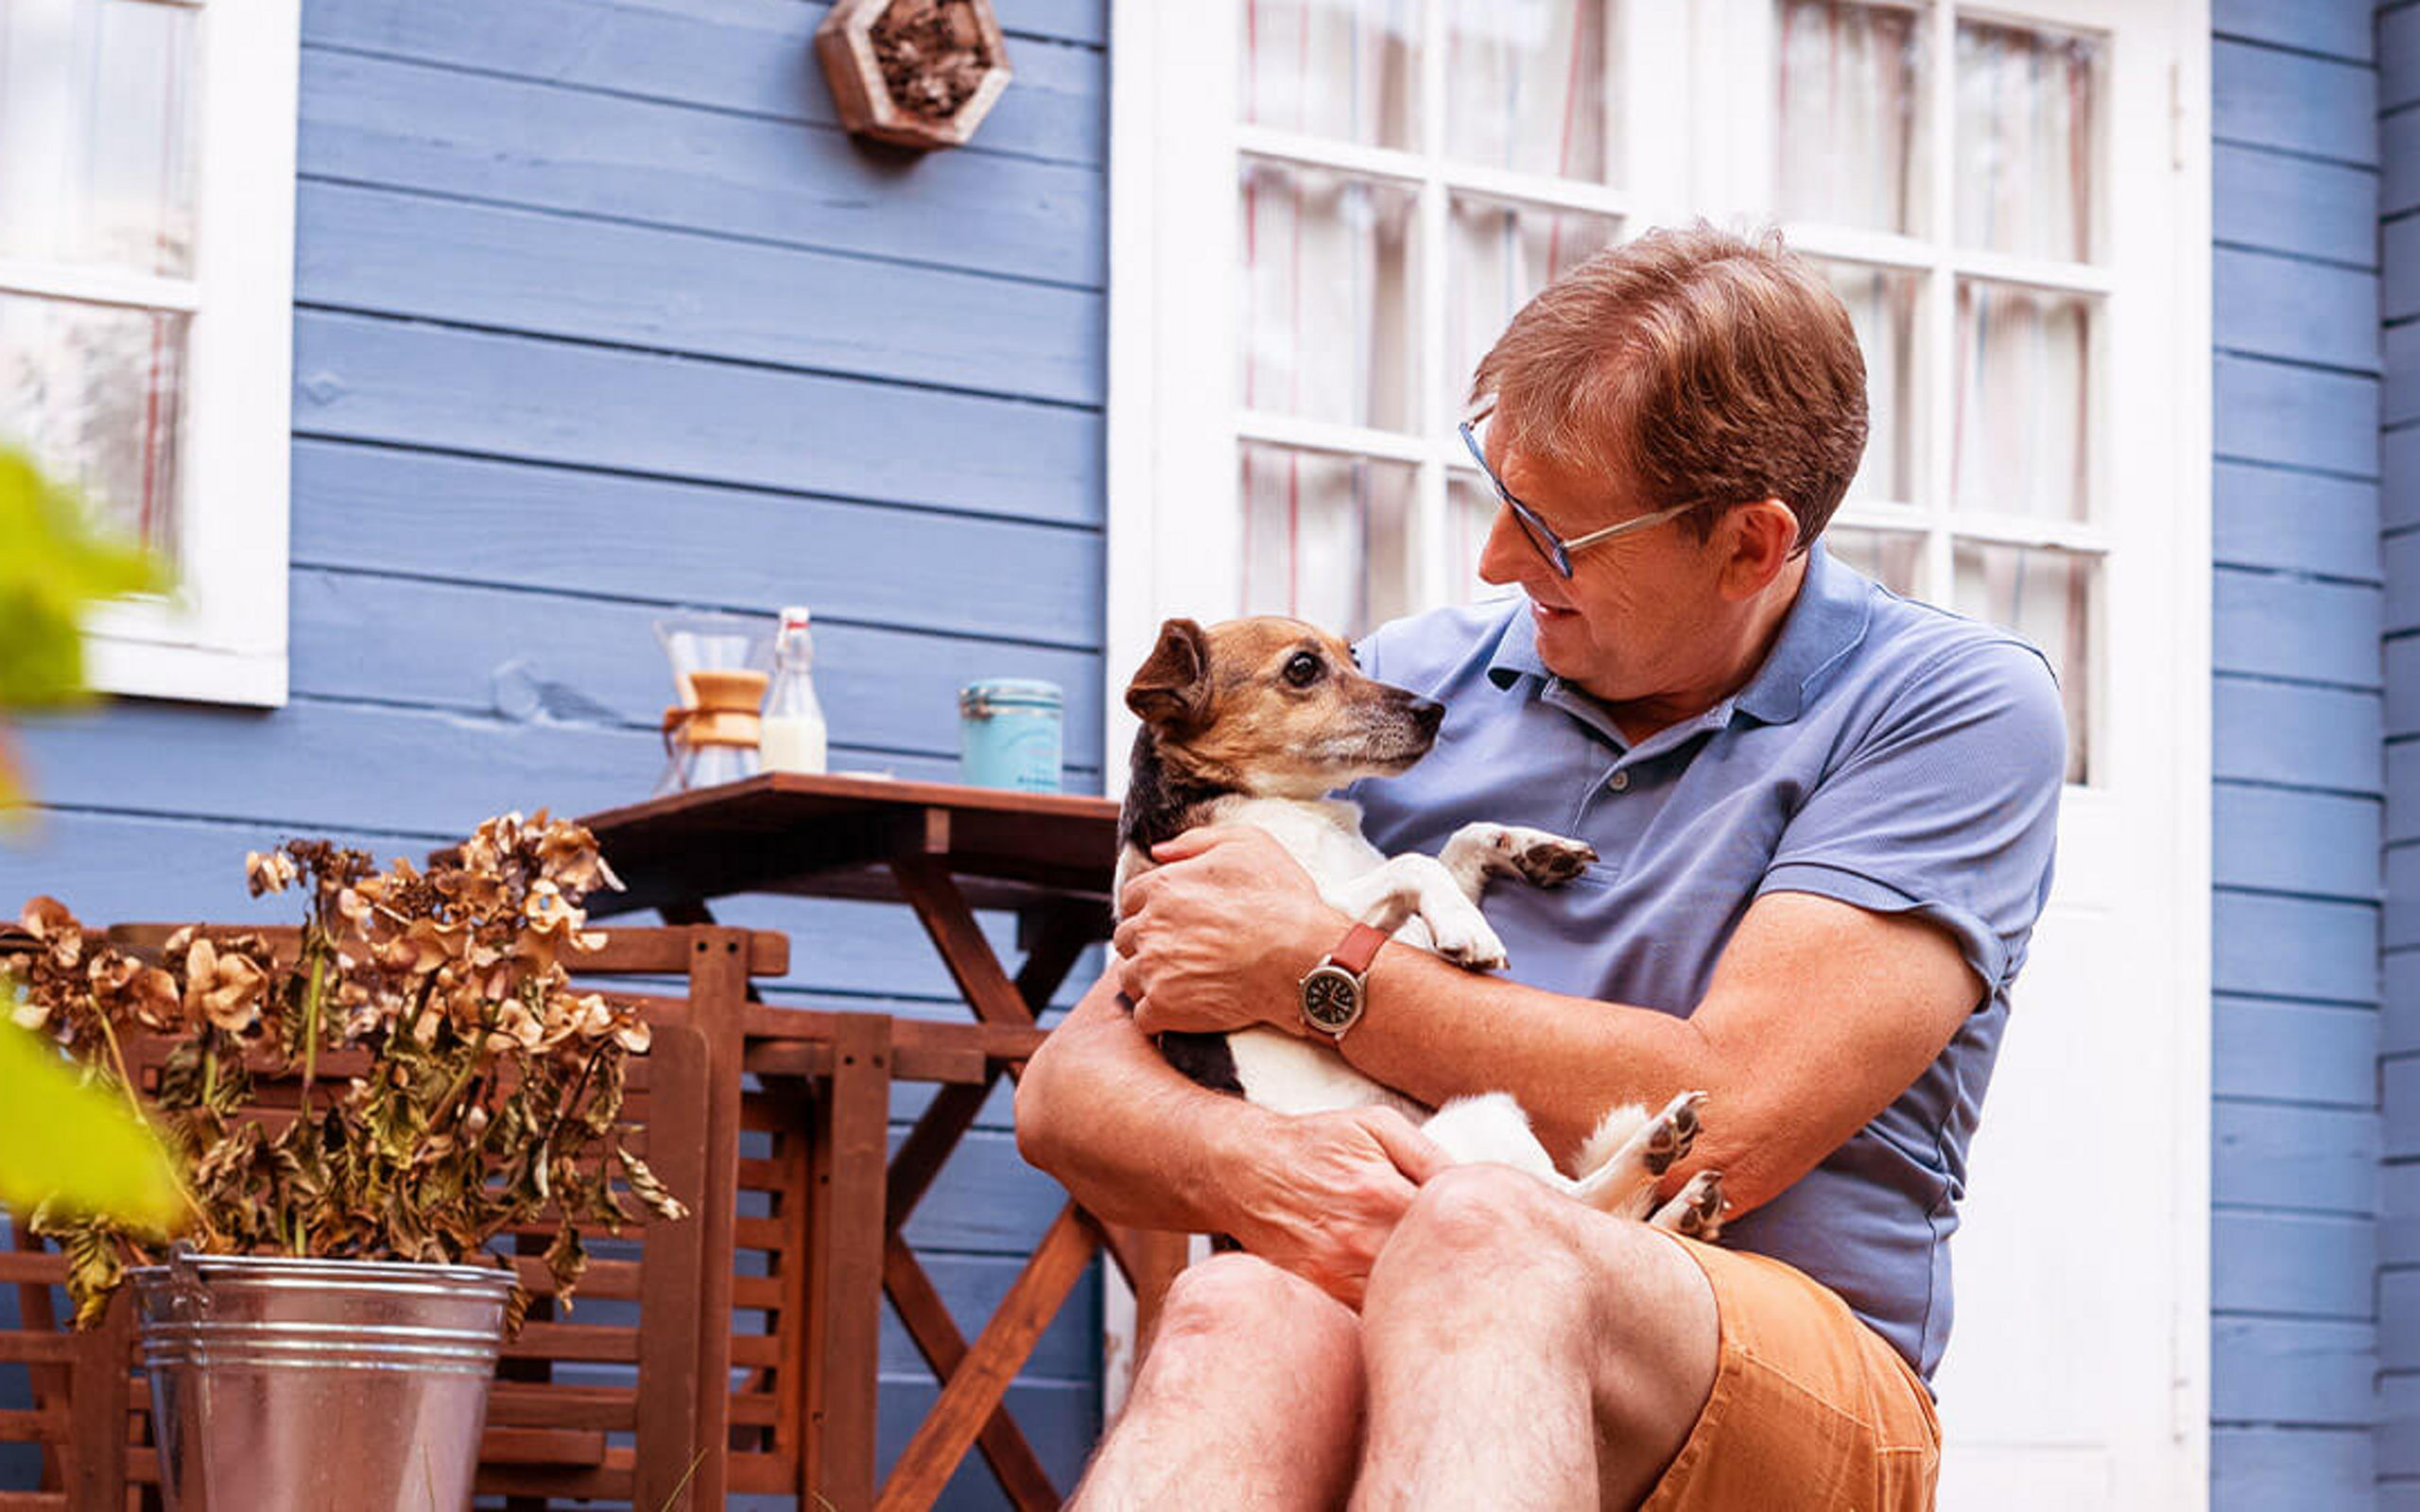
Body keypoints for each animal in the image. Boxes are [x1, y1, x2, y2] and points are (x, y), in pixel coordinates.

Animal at [1113, 616, 1722, 1238]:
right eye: (1302, 668)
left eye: (1355, 657)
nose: (1434, 709)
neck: (1281, 803)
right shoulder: (1317, 902)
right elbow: (1416, 863)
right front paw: (1471, 928)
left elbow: (1463, 839)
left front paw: (1533, 848)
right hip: (1479, 1123)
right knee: (1575, 1200)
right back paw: (1655, 1148)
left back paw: (1684, 1209)